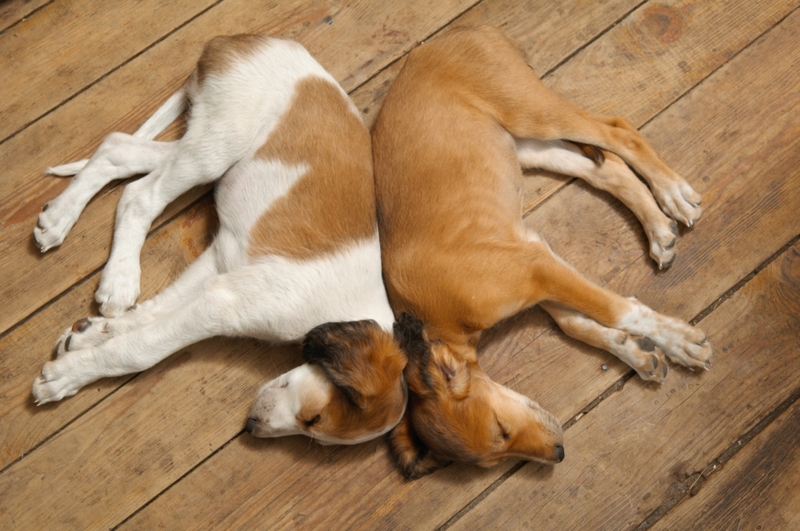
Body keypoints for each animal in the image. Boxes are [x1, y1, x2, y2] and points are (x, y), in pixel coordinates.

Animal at [30, 35, 406, 446]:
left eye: (317, 435)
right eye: (313, 419)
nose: (252, 427)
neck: (347, 310)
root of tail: (236, 39)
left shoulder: (223, 264)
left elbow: (148, 315)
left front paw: (88, 337)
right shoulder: (223, 306)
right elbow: (142, 348)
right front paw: (67, 376)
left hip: (205, 140)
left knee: (118, 148)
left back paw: (58, 218)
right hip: (218, 146)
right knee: (139, 195)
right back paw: (119, 280)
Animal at [372, 27, 716, 480]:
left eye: (500, 430)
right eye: (492, 459)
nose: (559, 454)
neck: (438, 322)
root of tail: (460, 32)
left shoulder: (536, 271)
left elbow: (616, 310)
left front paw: (681, 342)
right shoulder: (537, 263)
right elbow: (578, 324)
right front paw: (639, 353)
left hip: (529, 112)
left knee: (618, 131)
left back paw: (673, 193)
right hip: (523, 145)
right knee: (603, 168)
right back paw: (658, 227)